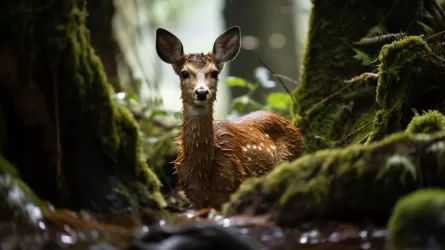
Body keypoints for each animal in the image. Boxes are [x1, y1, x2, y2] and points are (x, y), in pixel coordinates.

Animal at [154, 25, 304, 209]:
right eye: (184, 73)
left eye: (214, 73)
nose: (202, 92)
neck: (203, 171)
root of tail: (293, 125)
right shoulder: (193, 197)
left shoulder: (233, 187)